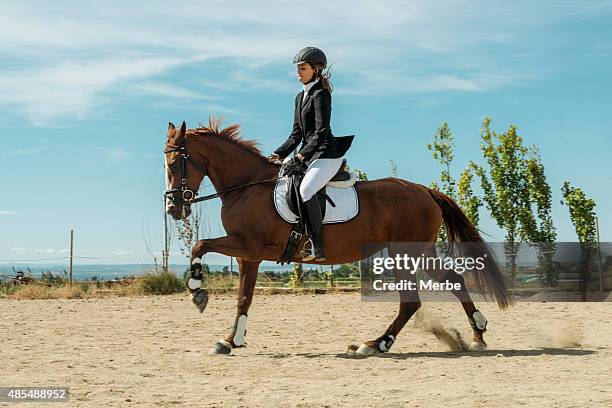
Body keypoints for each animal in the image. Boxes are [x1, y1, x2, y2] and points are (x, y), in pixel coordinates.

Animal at [163, 117, 512, 354]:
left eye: (176, 163)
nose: (173, 208)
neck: (246, 187)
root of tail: (424, 190)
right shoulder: (249, 255)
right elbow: (243, 297)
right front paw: (230, 340)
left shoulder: (248, 245)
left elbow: (200, 245)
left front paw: (197, 291)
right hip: (414, 252)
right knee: (443, 285)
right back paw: (470, 335)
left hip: (407, 252)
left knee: (419, 297)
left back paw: (378, 344)